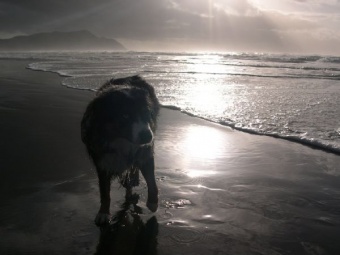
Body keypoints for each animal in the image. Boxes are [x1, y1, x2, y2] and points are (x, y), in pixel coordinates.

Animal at [80, 75, 159, 225]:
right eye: (125, 116)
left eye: (145, 113)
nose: (148, 136)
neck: (121, 139)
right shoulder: (102, 160)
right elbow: (104, 190)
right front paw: (103, 212)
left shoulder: (145, 152)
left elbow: (151, 180)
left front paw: (153, 203)